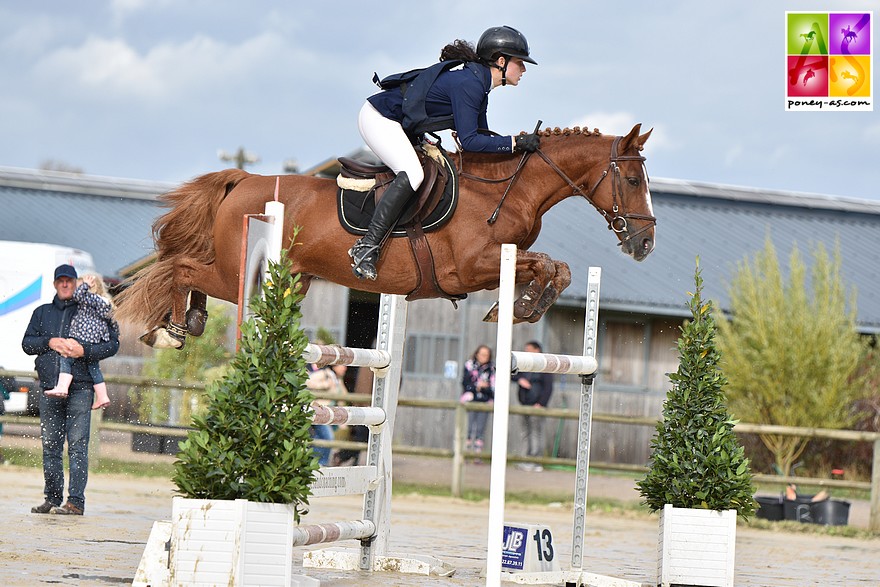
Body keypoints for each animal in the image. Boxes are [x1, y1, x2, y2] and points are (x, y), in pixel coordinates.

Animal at [115, 121, 652, 346]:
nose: (644, 243)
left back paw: (189, 319)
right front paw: (515, 308)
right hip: (237, 272)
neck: (505, 189)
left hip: (289, 279)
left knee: (190, 272)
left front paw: (522, 307)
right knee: (183, 268)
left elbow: (558, 268)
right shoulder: (469, 270)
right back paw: (172, 328)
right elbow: (543, 264)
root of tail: (244, 178)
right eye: (631, 180)